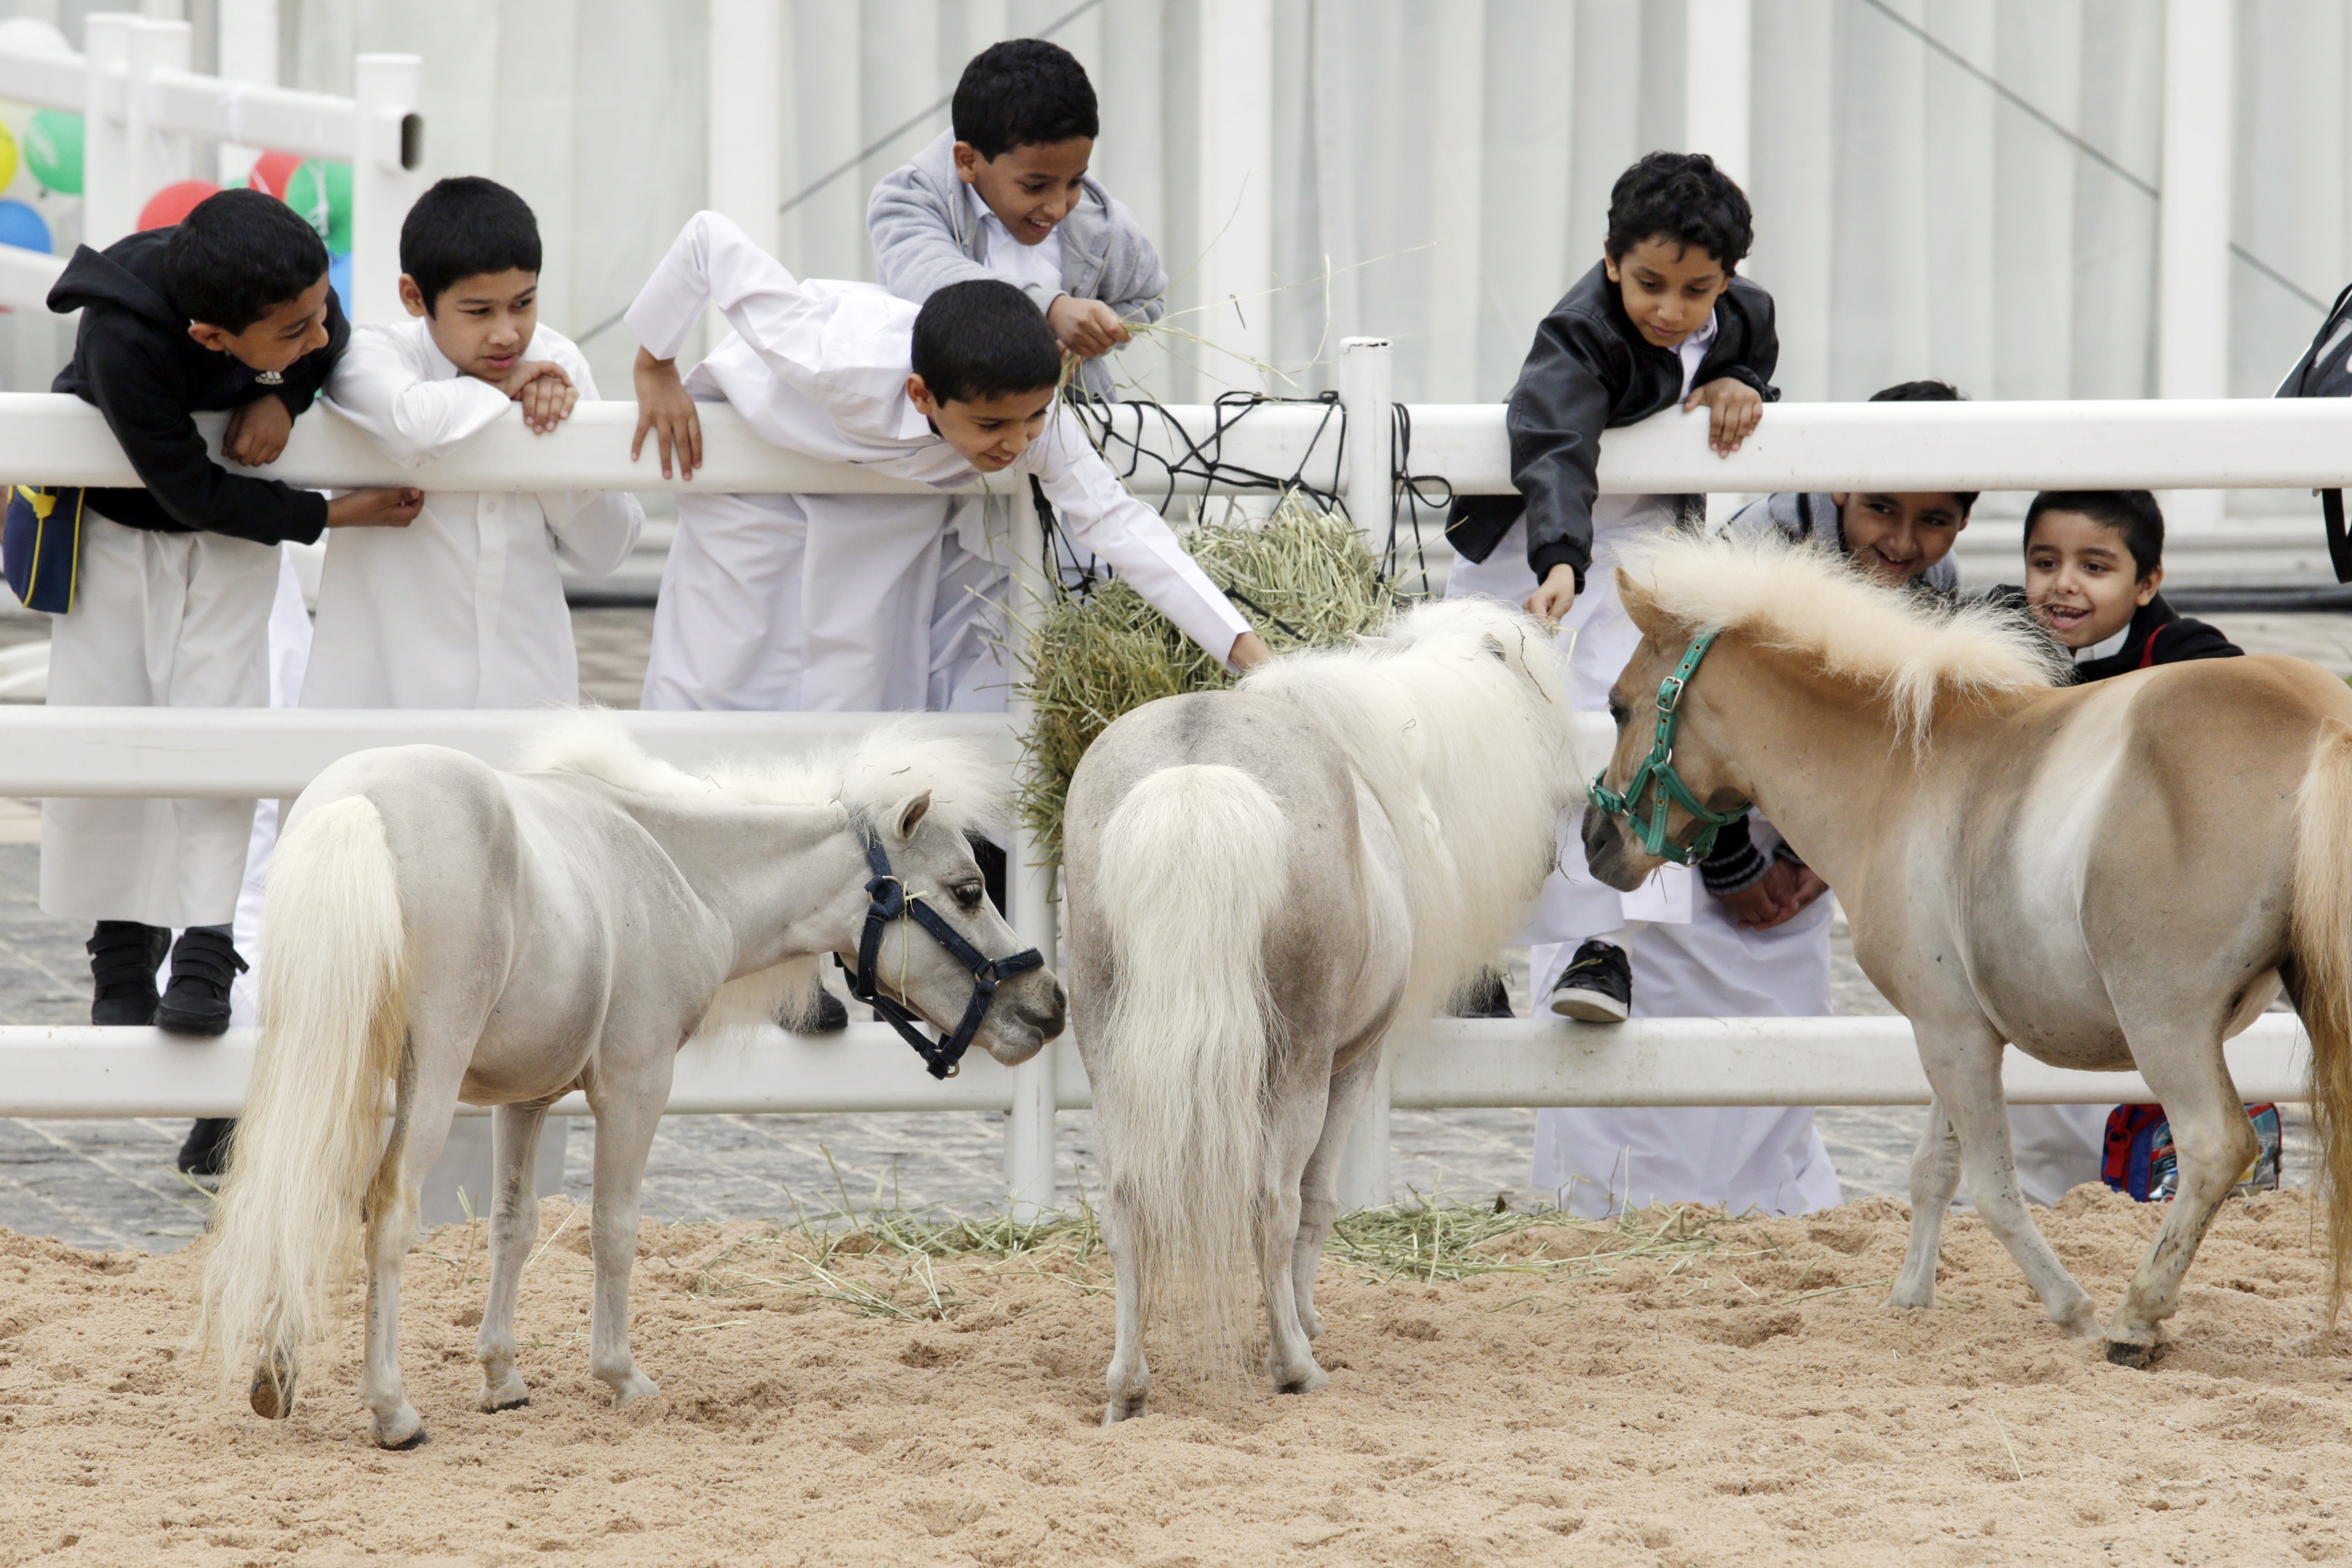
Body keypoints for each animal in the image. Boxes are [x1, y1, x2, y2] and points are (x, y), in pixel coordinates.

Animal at [196, 715, 1064, 1449]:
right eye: (968, 888)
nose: (1048, 1005)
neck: (672, 868)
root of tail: (357, 805)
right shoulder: (636, 1085)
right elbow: (612, 1227)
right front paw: (621, 1375)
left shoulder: (526, 1099)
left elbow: (513, 1225)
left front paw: (503, 1376)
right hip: (427, 1079)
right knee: (387, 1210)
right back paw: (392, 1410)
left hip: (326, 1059)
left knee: (299, 1188)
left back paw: (276, 1375)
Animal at [1062, 597, 1577, 1421]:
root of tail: (1196, 779)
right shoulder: (1352, 1064)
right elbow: (1317, 1200)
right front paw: (1305, 1323)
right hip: (1296, 1068)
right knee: (1270, 1202)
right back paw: (1294, 1366)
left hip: (1110, 1059)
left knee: (1126, 1205)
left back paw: (1126, 1387)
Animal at [1580, 530, 2352, 1365]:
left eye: (1618, 706)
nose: (1594, 844)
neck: (1902, 767)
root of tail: (2324, 726)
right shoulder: (1951, 1025)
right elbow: (1934, 1169)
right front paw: (1908, 1299)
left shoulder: (1950, 1034)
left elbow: (1988, 1183)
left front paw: (2073, 1308)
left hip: (2164, 1023)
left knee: (2213, 1145)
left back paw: (2134, 1316)